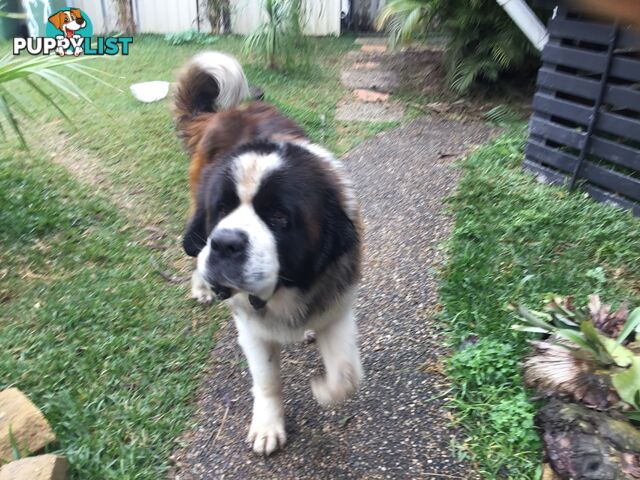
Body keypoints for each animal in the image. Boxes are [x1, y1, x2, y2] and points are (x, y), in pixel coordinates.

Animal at [175, 54, 362, 456]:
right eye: (221, 210)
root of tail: (226, 113)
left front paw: (322, 388)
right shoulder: (250, 325)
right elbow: (266, 378)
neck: (284, 289)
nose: (225, 243)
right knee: (194, 250)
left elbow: (346, 376)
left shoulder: (337, 301)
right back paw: (201, 286)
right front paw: (267, 424)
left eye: (278, 218)